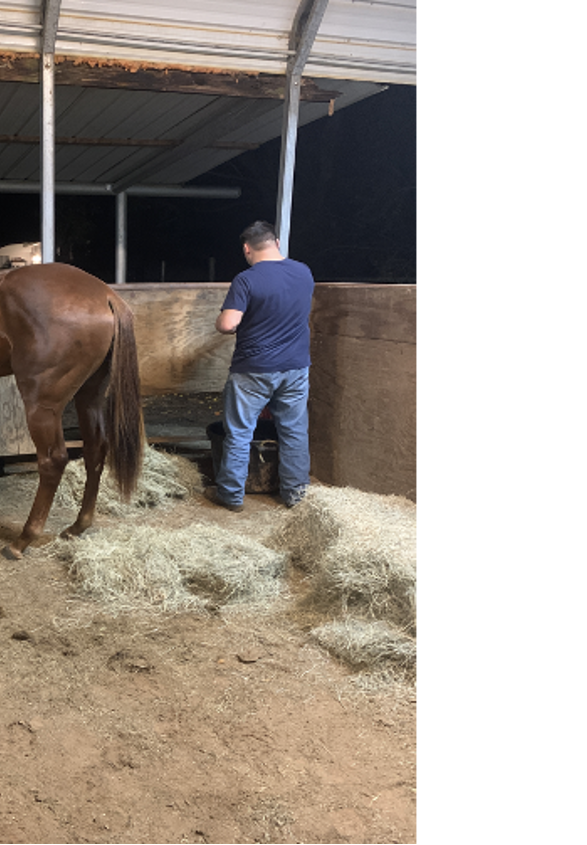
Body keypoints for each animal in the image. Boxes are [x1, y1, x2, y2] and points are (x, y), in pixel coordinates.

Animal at [0, 260, 145, 556]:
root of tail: (106, 296)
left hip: (42, 406)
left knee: (53, 461)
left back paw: (22, 540)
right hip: (89, 396)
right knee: (95, 450)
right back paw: (78, 526)